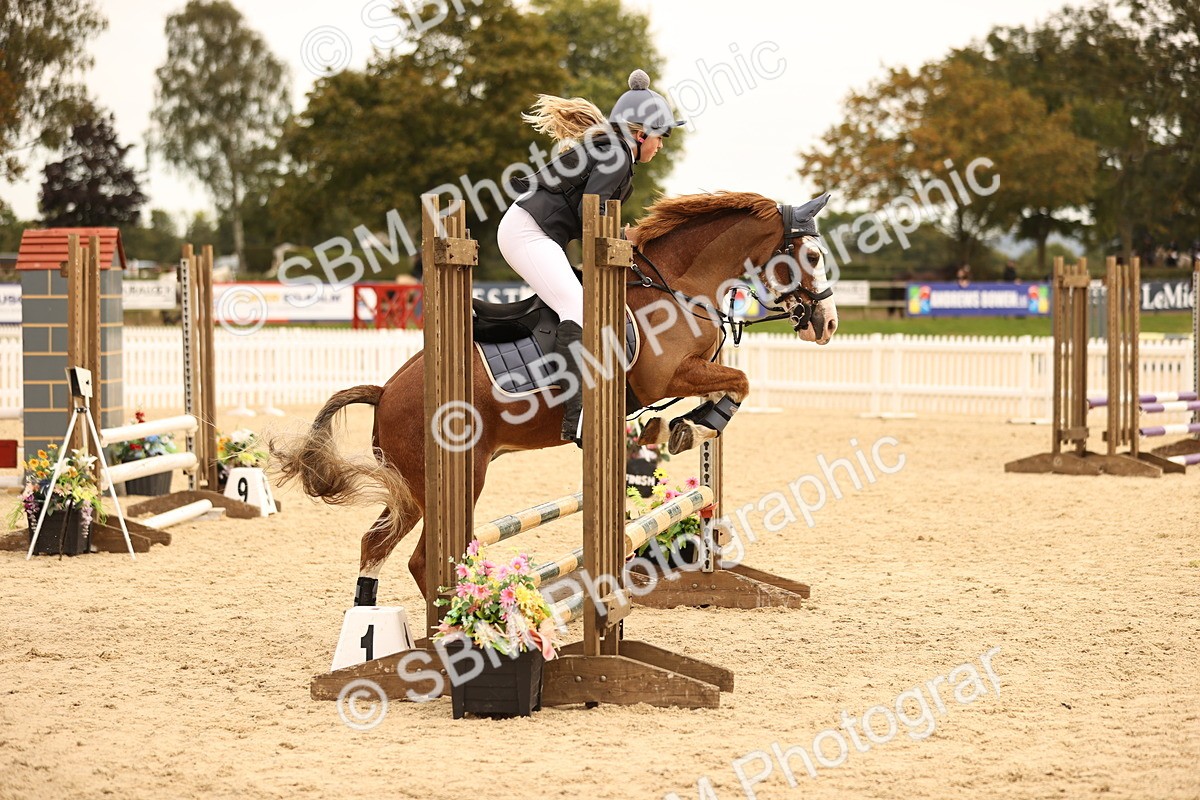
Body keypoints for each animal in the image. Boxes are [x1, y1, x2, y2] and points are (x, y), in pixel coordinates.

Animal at [273, 191, 838, 604]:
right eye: (811, 256)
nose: (827, 324)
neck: (676, 286)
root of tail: (387, 390)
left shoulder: (691, 370)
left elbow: (730, 382)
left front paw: (677, 428)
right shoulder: (665, 378)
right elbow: (739, 382)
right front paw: (691, 425)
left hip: (410, 488)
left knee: (376, 543)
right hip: (451, 479)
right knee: (420, 558)